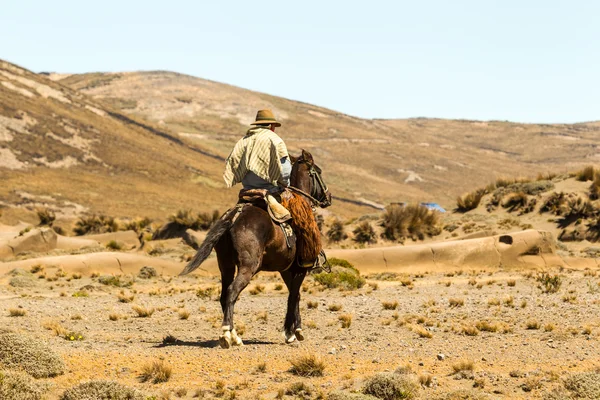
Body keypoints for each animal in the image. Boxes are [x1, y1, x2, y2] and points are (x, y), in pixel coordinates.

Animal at [180, 149, 330, 346]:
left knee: (224, 295)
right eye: (319, 172)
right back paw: (227, 334)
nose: (328, 198)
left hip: (225, 265)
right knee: (232, 291)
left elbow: (294, 295)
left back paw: (235, 335)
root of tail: (235, 216)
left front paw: (292, 330)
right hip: (248, 267)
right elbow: (294, 296)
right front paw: (293, 331)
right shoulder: (300, 269)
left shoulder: (286, 270)